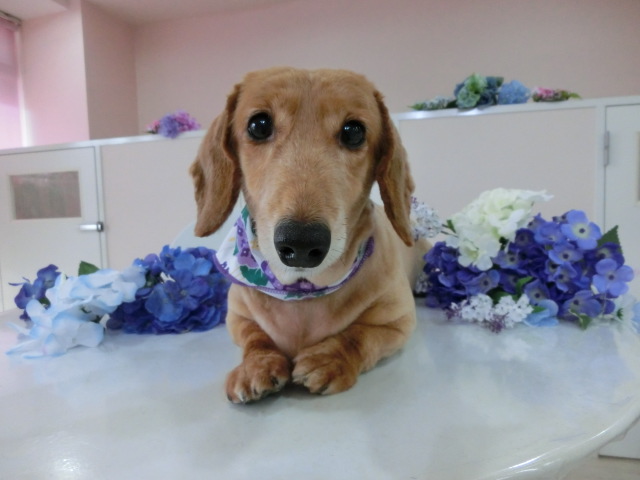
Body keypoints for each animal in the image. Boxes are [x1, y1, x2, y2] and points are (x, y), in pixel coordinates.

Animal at [190, 67, 429, 403]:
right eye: (259, 125)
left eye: (354, 131)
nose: (301, 242)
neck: (300, 289)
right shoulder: (237, 317)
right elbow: (255, 338)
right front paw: (256, 365)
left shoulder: (398, 321)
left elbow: (358, 336)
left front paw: (329, 358)